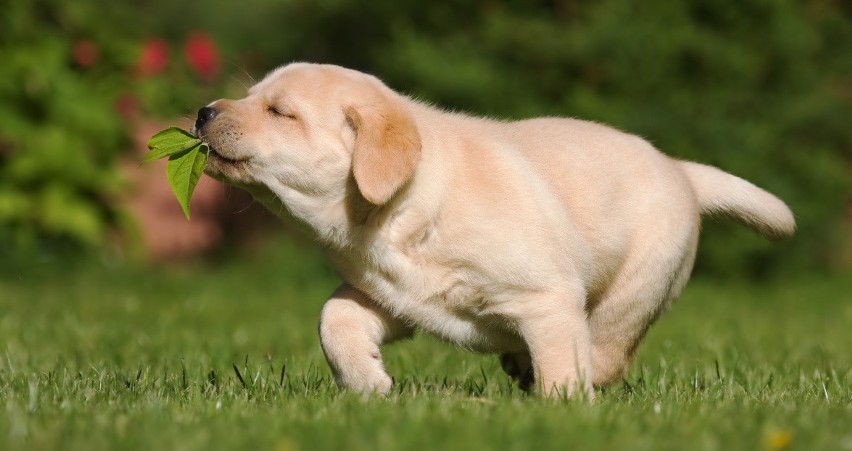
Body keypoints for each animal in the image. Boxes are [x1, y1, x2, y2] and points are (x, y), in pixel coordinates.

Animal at [196, 62, 796, 396]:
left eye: (280, 112)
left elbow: (562, 364)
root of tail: (680, 170)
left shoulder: (548, 297)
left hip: (642, 280)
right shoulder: (395, 296)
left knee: (607, 345)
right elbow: (334, 318)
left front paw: (562, 415)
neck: (403, 212)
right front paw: (368, 385)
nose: (203, 112)